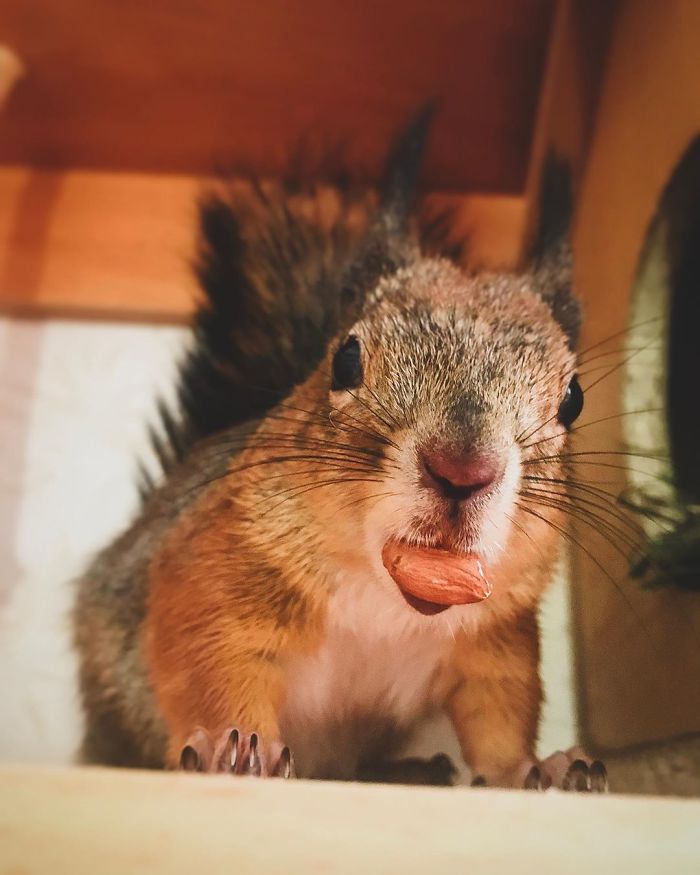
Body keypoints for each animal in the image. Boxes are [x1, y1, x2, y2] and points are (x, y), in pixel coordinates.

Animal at [73, 107, 607, 790]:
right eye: (346, 358)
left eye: (574, 399)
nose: (462, 470)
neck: (385, 598)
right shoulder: (213, 573)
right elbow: (213, 664)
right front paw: (230, 748)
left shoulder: (495, 645)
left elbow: (499, 717)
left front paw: (536, 769)